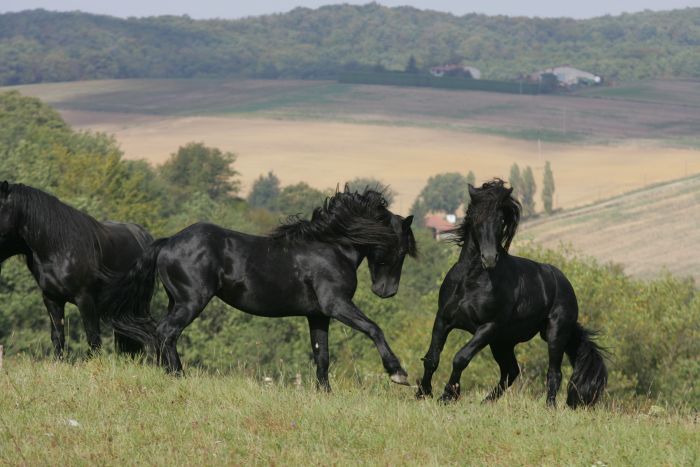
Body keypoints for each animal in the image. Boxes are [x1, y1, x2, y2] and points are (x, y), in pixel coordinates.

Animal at [0, 181, 153, 356]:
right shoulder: (52, 299)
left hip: (141, 304)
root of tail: (144, 237)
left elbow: (93, 337)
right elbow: (57, 337)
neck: (59, 249)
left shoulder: (85, 299)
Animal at [101, 186, 412, 388]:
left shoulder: (318, 315)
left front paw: (324, 393)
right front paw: (398, 373)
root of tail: (167, 242)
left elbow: (321, 356)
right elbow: (373, 328)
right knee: (166, 332)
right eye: (401, 249)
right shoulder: (337, 305)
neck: (331, 247)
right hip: (191, 302)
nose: (386, 291)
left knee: (164, 334)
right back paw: (178, 376)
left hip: (175, 301)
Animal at [416, 181, 608, 408]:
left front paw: (447, 395)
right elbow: (432, 358)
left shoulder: (488, 327)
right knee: (511, 371)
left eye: (501, 220)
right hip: (503, 342)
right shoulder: (443, 319)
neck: (470, 281)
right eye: (476, 218)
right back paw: (486, 402)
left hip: (554, 334)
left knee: (553, 373)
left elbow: (460, 358)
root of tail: (564, 284)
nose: (490, 258)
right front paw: (422, 393)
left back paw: (549, 407)